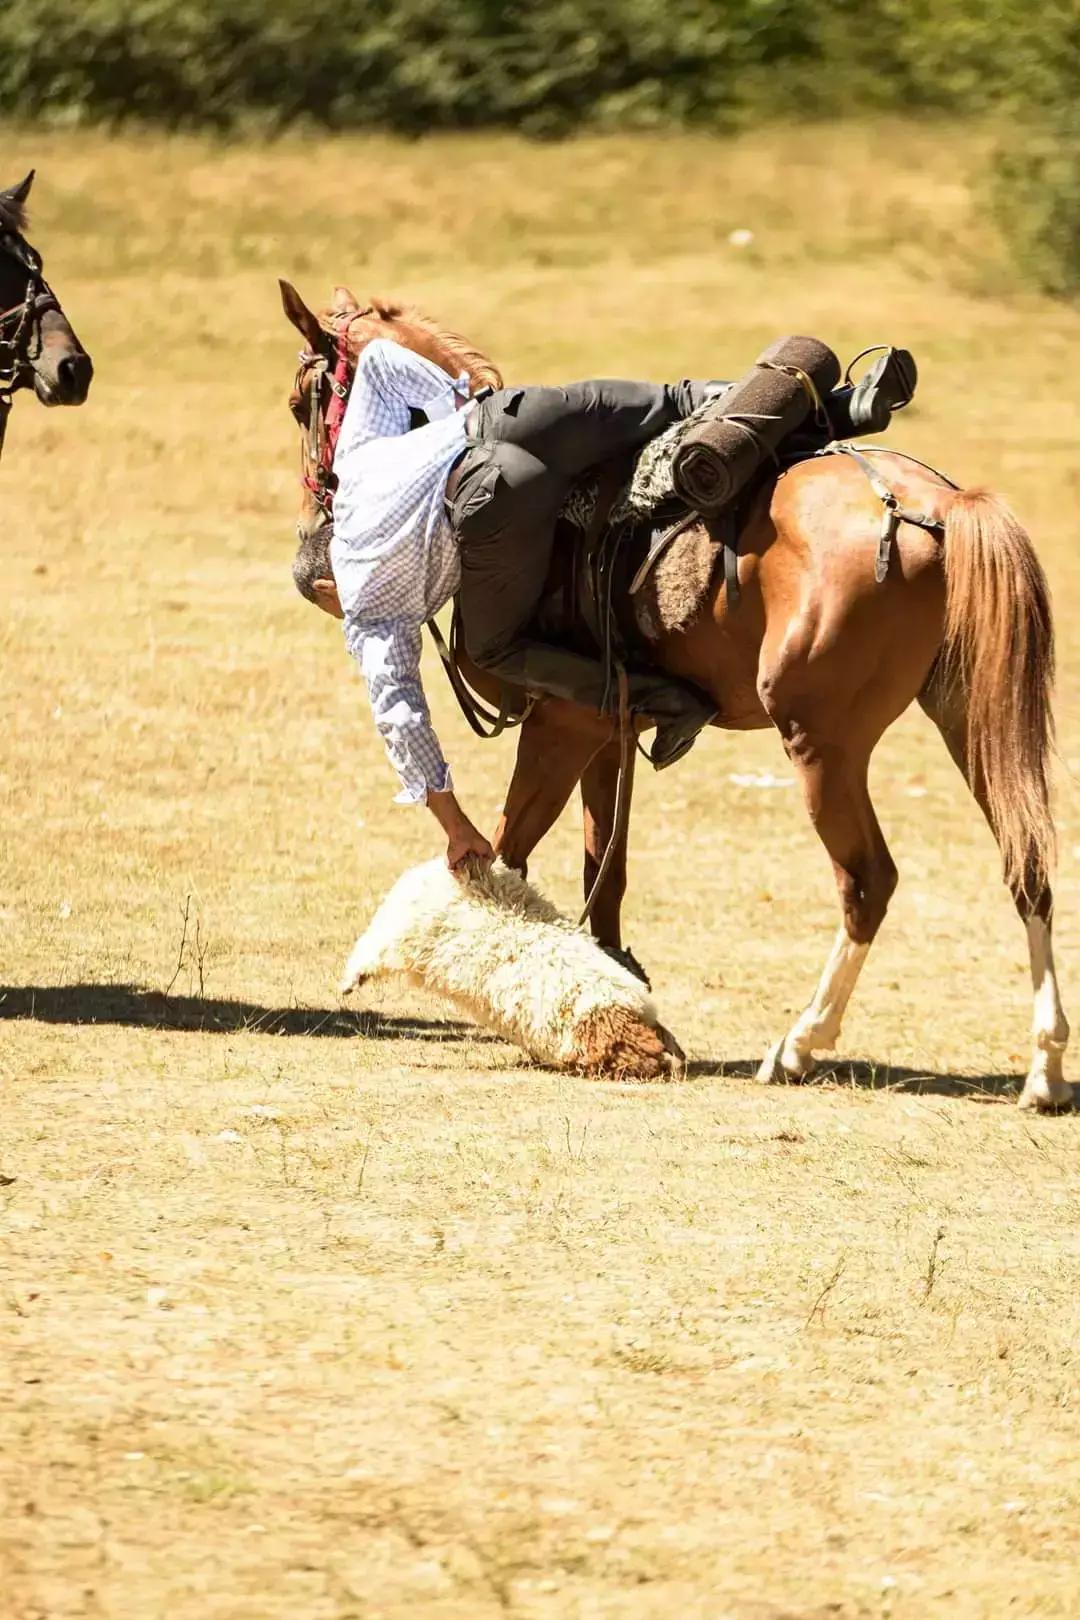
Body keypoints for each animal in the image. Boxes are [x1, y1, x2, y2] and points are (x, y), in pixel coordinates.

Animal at [281, 285, 1075, 1108]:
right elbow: (603, 871)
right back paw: (1044, 1067)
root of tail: (938, 507)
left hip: (822, 741)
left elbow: (503, 854)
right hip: (968, 719)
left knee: (868, 881)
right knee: (1028, 864)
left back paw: (799, 1045)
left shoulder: (563, 721)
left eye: (301, 401)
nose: (312, 563)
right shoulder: (610, 729)